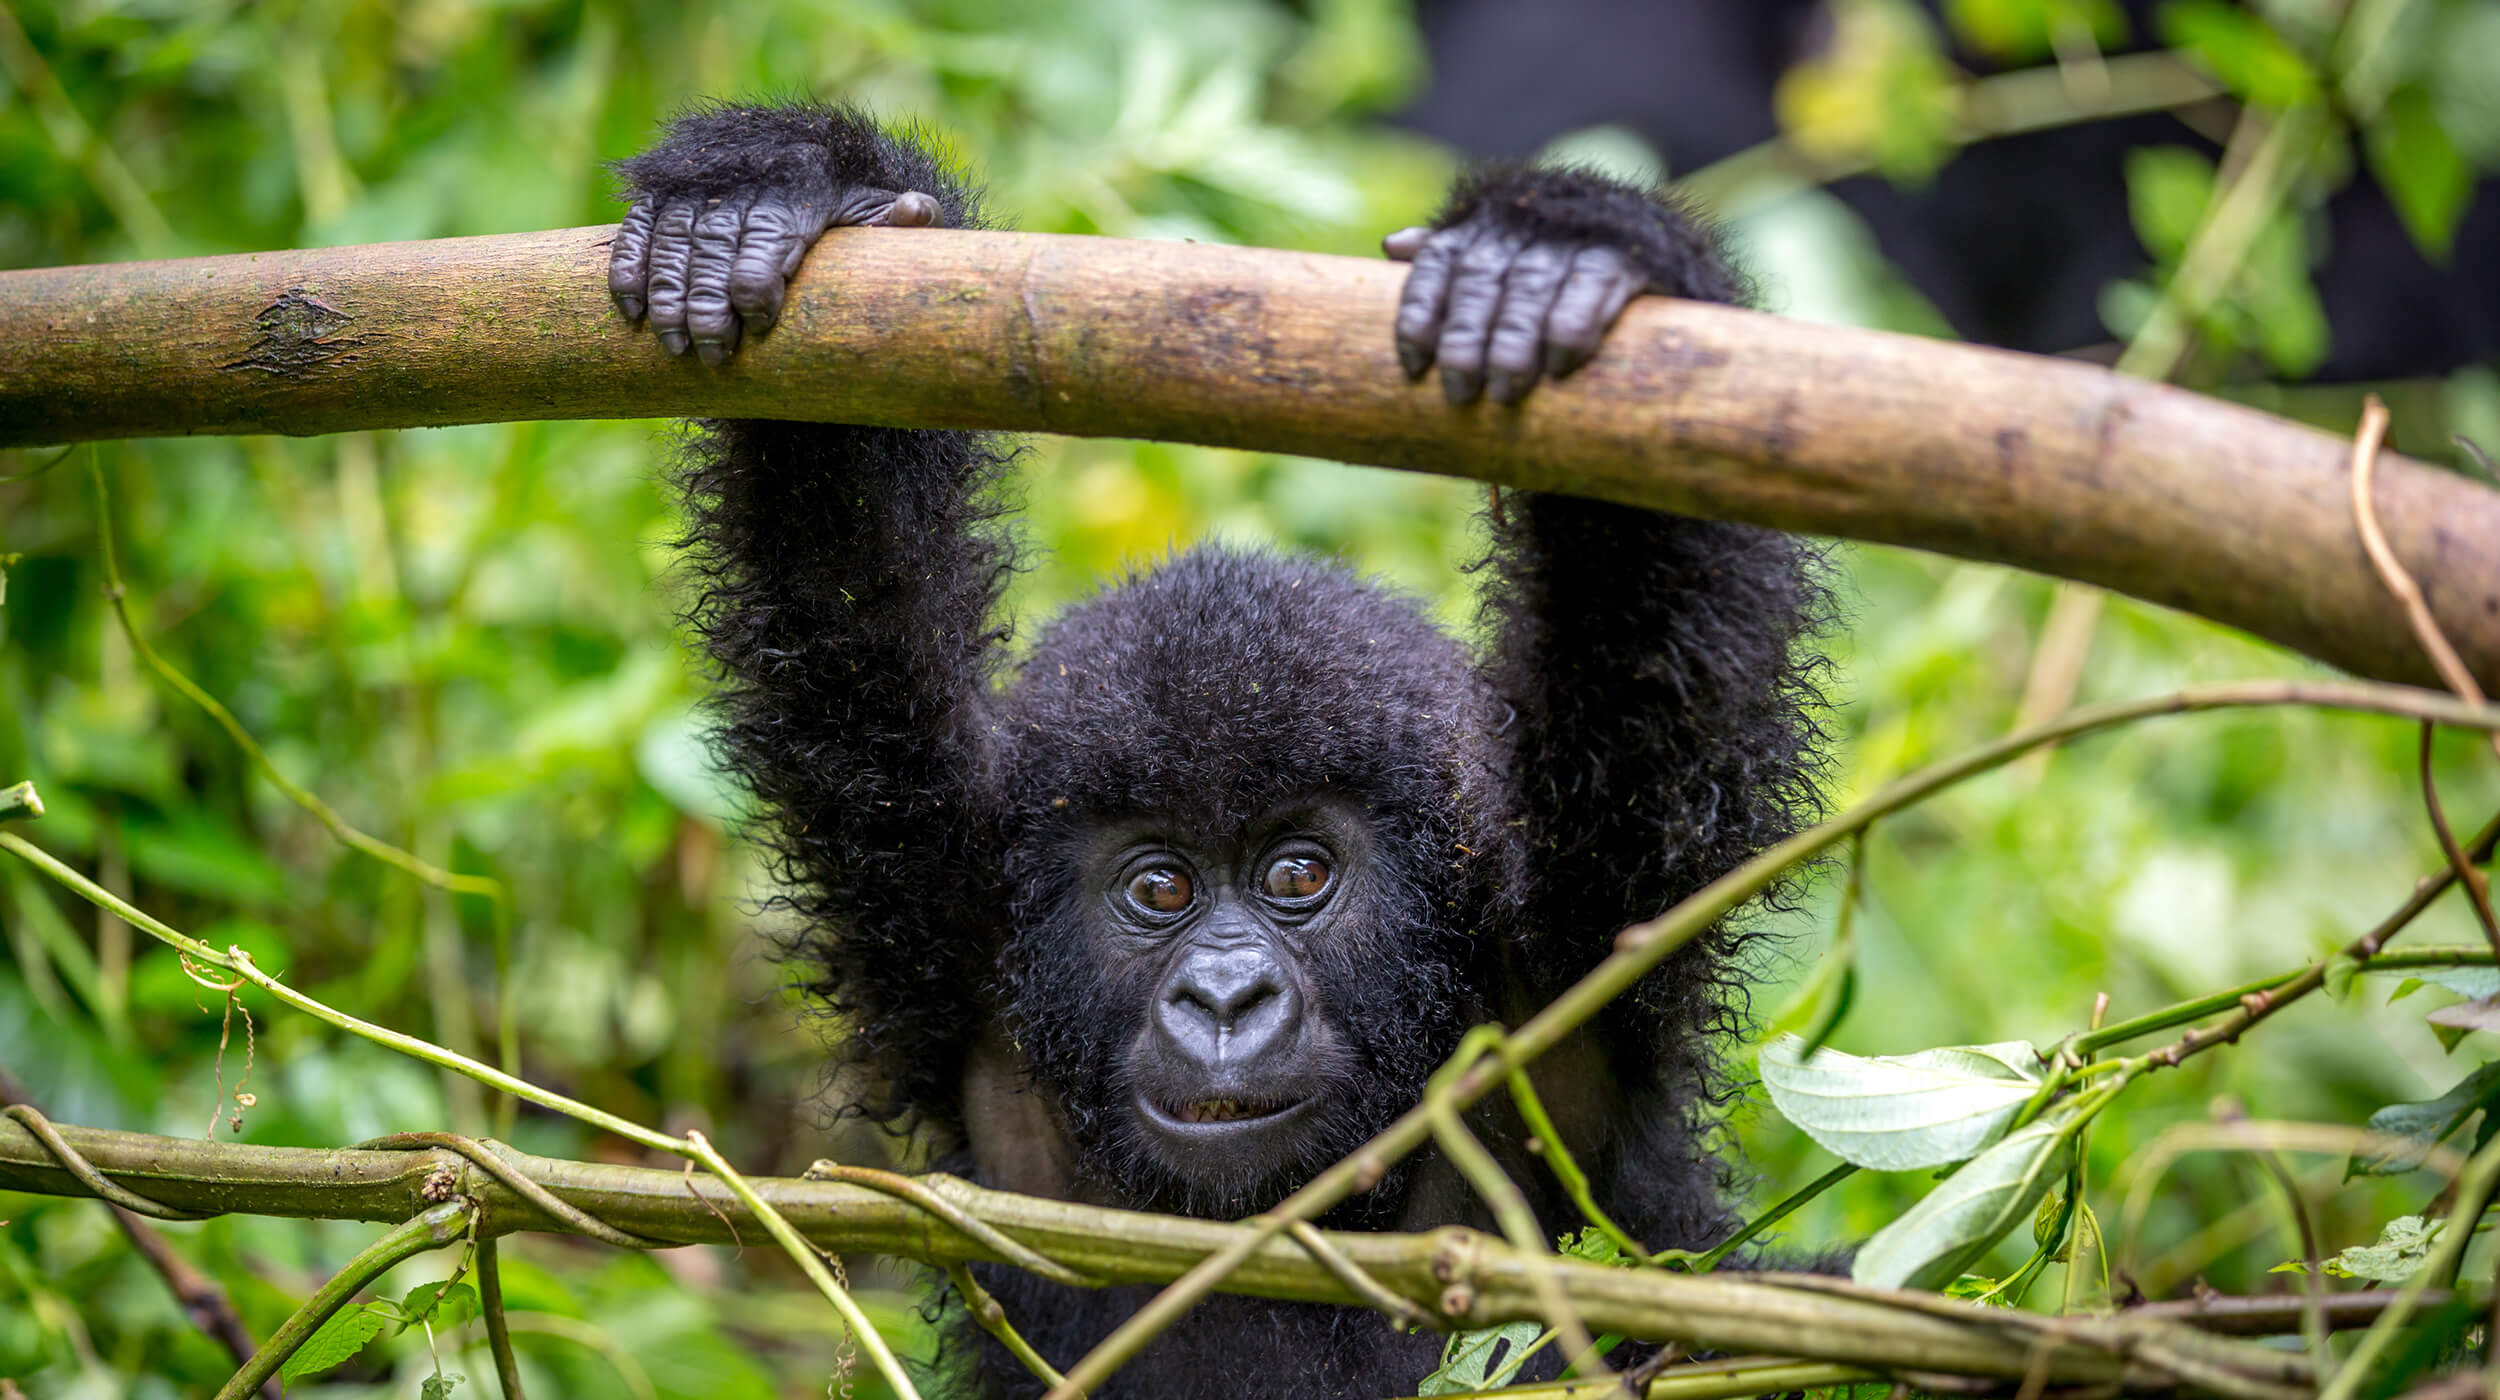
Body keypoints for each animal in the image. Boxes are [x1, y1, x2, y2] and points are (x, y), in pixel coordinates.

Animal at [605, 101, 1820, 1400]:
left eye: (1297, 873)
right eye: (1159, 887)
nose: (1225, 996)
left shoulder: (1573, 941)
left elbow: (1645, 648)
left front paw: (1564, 251)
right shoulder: (948, 909)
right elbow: (848, 580)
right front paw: (778, 189)